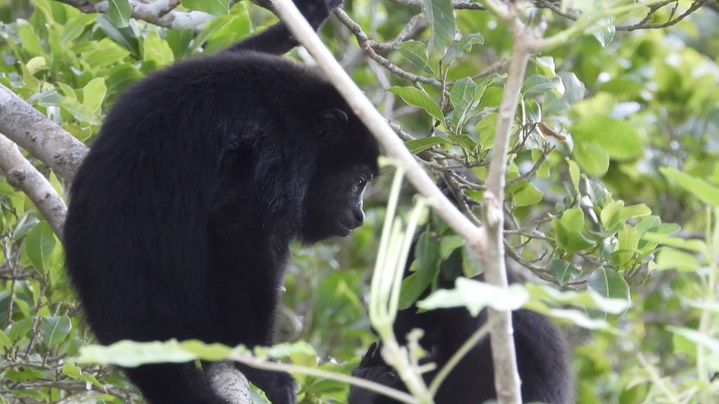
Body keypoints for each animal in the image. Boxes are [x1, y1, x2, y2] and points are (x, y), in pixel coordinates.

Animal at [64, 1, 380, 402]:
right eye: (359, 180)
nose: (359, 215)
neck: (306, 116)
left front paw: (309, 14)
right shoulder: (286, 147)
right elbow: (240, 222)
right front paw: (262, 368)